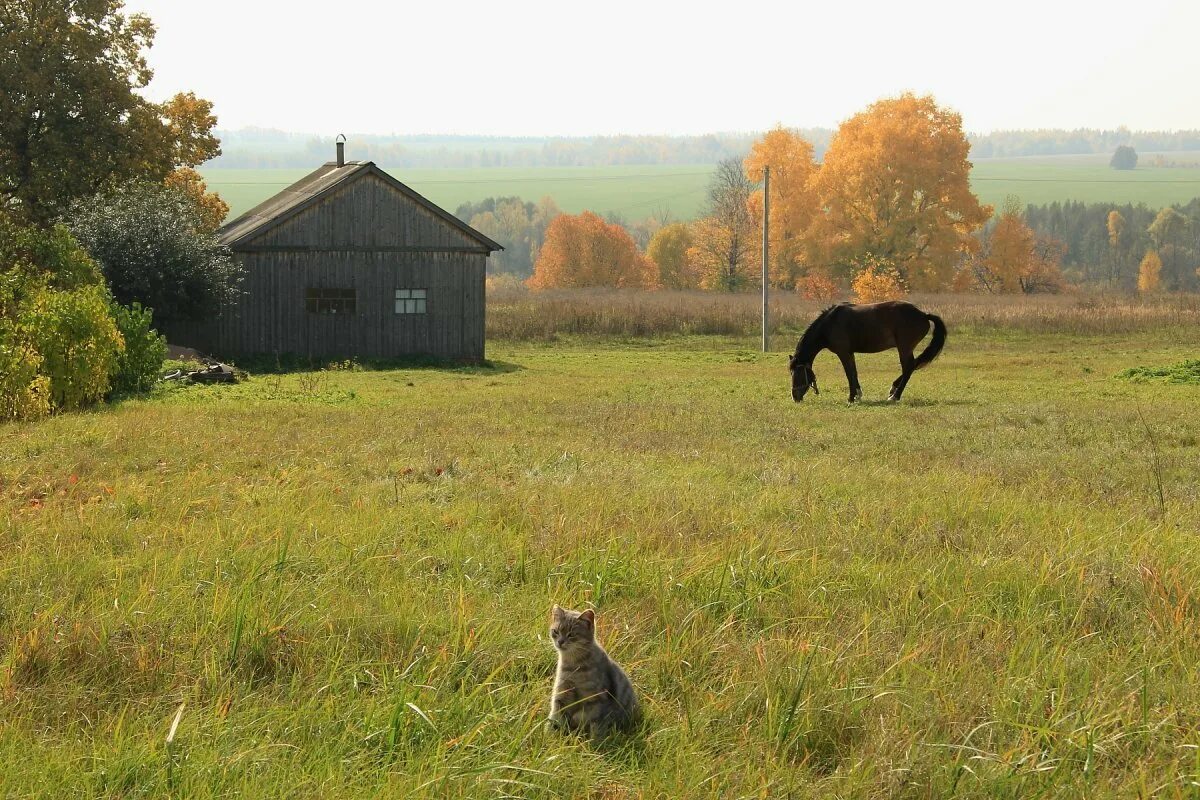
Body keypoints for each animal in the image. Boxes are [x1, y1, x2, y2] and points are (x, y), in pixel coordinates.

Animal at [787, 299, 945, 402]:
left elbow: (848, 373)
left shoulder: (843, 353)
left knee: (908, 368)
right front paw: (858, 394)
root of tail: (923, 315)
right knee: (913, 365)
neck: (830, 323)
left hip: (904, 348)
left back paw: (895, 396)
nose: (795, 397)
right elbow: (854, 372)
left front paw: (851, 397)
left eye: (798, 374)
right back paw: (893, 390)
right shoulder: (850, 353)